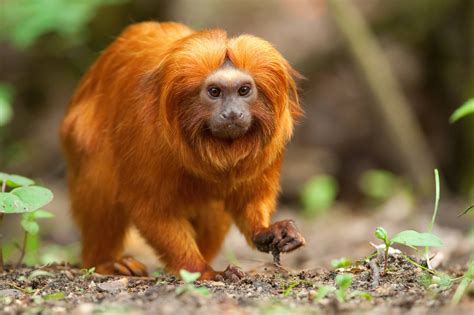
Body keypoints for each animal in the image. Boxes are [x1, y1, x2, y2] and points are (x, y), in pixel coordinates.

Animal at [61, 21, 306, 280]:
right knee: (102, 179)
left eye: (243, 90)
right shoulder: (146, 133)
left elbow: (250, 198)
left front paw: (267, 231)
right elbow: (151, 209)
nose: (231, 113)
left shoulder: (271, 144)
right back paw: (105, 262)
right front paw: (204, 271)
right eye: (215, 92)